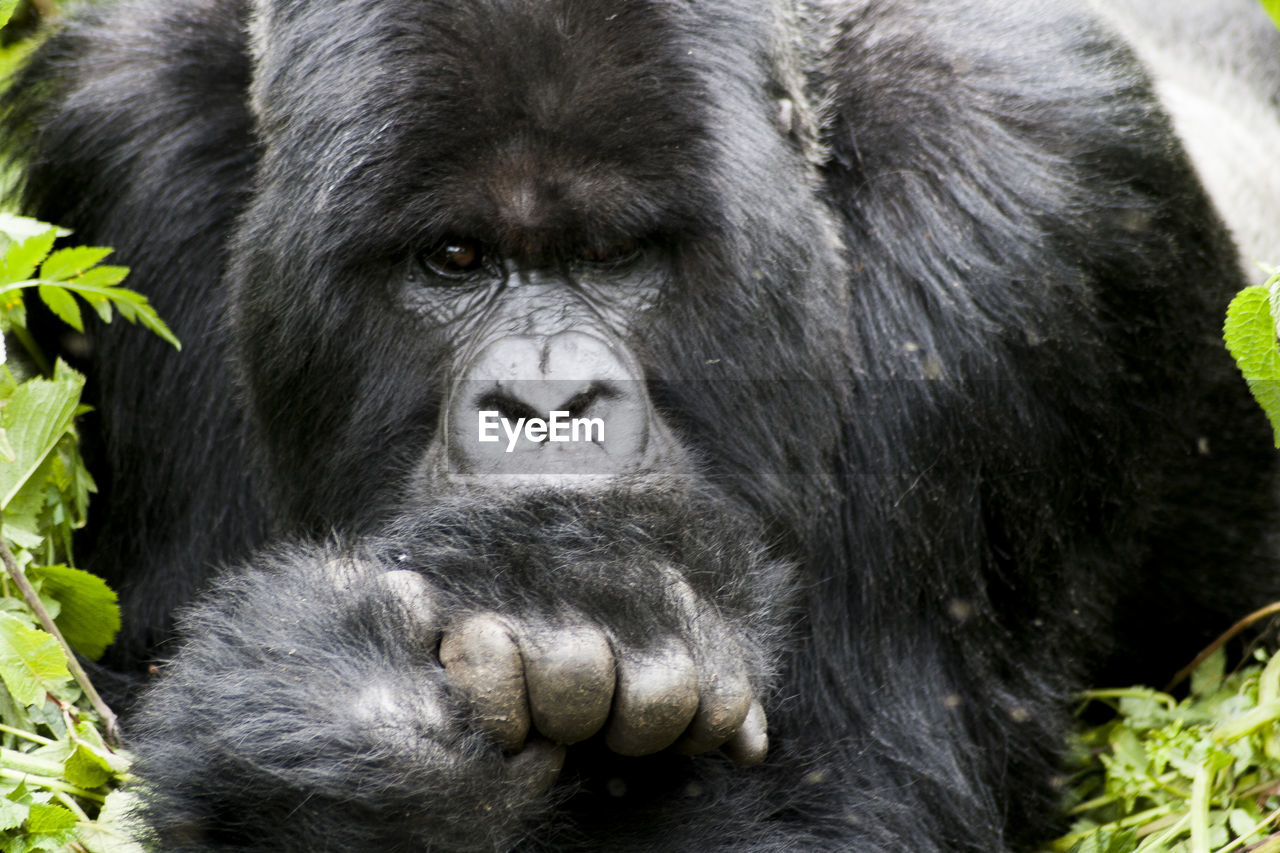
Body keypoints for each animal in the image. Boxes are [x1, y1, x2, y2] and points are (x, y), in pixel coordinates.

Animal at [7, 0, 1280, 845]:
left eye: (618, 255)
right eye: (453, 258)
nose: (545, 407)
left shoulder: (1016, 210)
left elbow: (867, 807)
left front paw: (561, 587)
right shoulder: (132, 151)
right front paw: (350, 724)